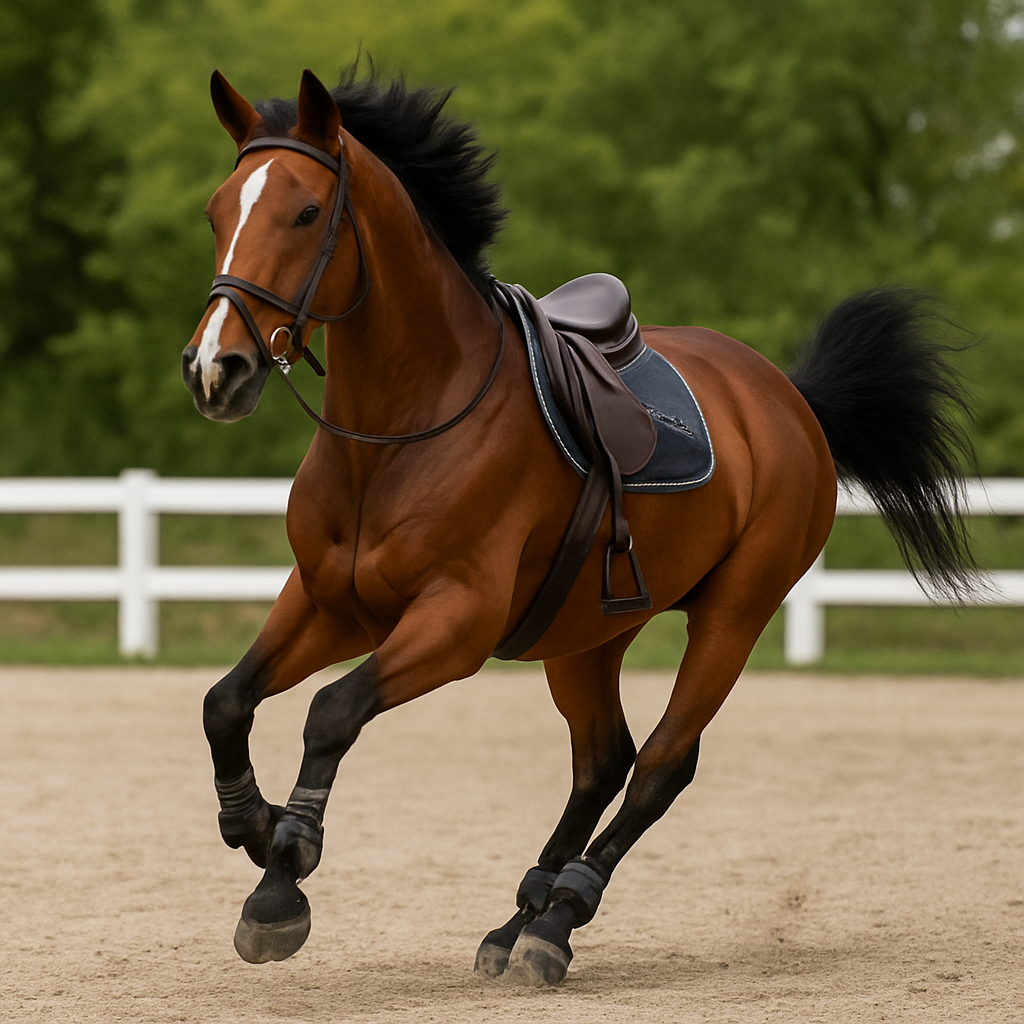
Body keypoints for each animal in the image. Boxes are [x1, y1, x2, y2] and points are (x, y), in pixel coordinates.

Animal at [181, 68, 976, 985]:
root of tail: (786, 394)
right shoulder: (329, 603)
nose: (215, 370)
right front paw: (251, 824)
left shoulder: (454, 621)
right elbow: (225, 702)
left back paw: (558, 918)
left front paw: (282, 875)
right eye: (218, 211)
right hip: (586, 634)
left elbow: (331, 712)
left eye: (307, 212)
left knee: (661, 763)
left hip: (733, 613)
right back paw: (516, 922)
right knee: (601, 760)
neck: (400, 428)